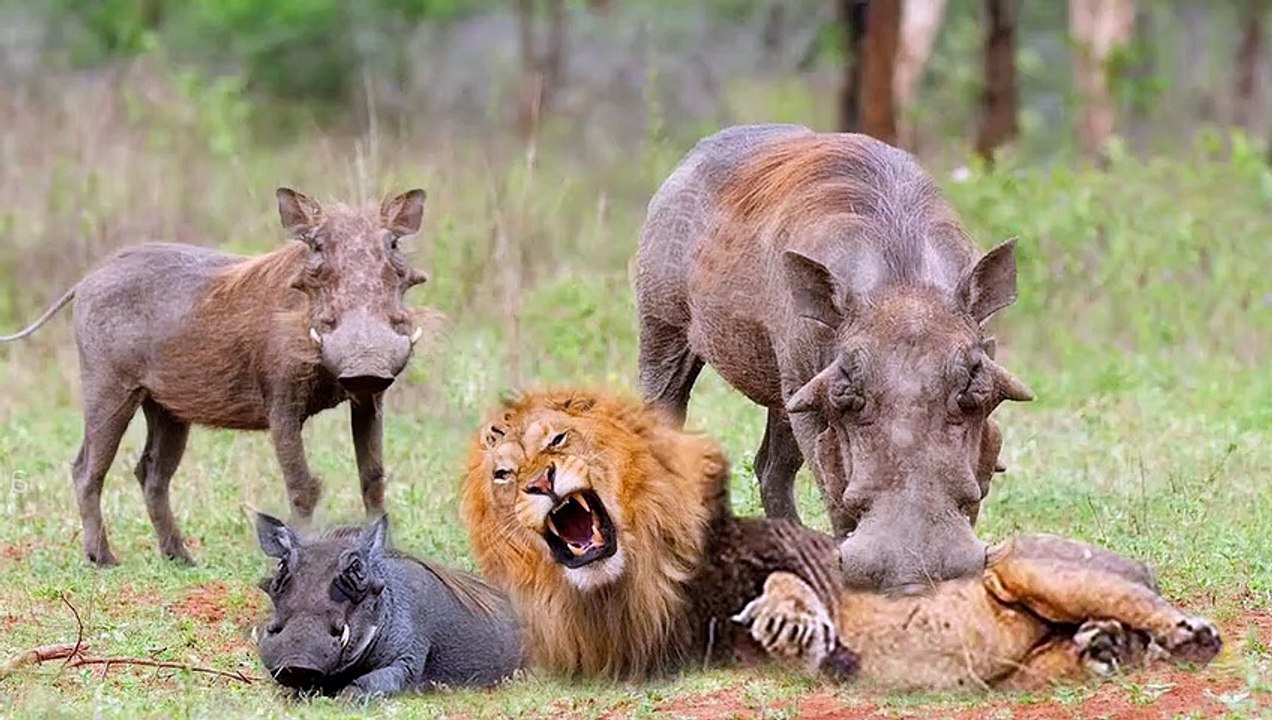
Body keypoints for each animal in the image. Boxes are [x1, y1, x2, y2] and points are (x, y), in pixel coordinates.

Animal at [461, 388, 1222, 689]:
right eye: (505, 471)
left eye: (560, 440)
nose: (541, 483)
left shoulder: (803, 560)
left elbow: (785, 584)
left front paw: (793, 622)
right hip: (1028, 663)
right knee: (1098, 644)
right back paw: (1105, 646)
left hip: (1030, 567)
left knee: (1148, 609)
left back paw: (1186, 634)